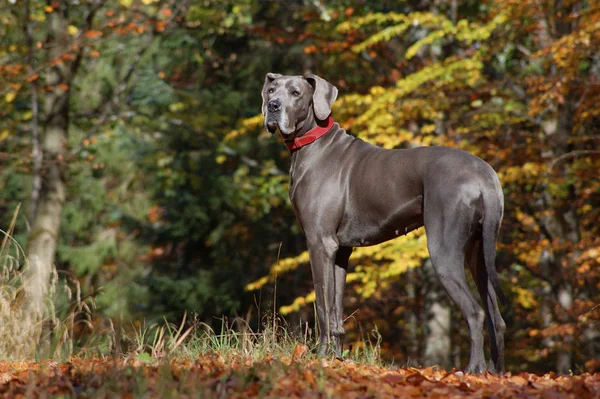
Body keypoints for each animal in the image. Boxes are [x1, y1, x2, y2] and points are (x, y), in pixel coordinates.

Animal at [262, 72, 506, 376]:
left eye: (296, 93)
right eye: (271, 89)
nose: (272, 106)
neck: (312, 145)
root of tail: (485, 174)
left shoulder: (319, 243)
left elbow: (321, 305)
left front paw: (320, 356)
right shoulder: (340, 251)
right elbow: (335, 310)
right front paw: (336, 358)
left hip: (444, 250)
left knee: (475, 312)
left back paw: (473, 369)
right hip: (480, 253)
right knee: (496, 316)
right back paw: (496, 372)